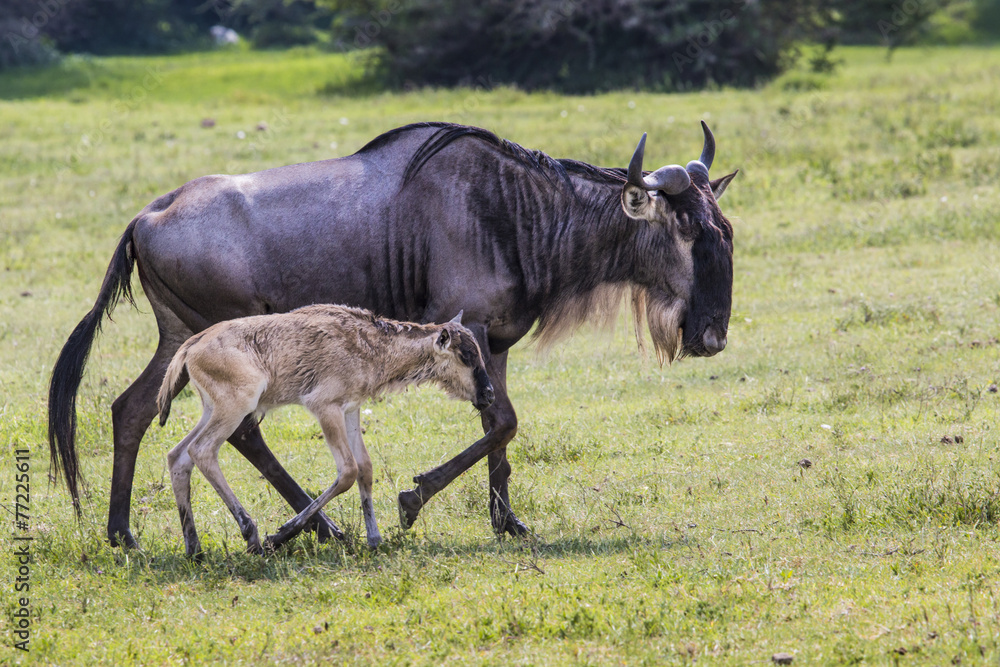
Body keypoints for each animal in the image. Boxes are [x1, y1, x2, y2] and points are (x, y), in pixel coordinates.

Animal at [156, 304, 494, 558]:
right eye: (465, 355)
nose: (488, 394)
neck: (370, 344)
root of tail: (192, 346)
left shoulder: (351, 410)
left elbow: (365, 469)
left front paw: (374, 539)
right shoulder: (325, 408)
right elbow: (347, 471)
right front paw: (281, 534)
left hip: (212, 410)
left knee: (178, 456)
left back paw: (195, 549)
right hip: (236, 407)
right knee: (202, 451)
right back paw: (251, 536)